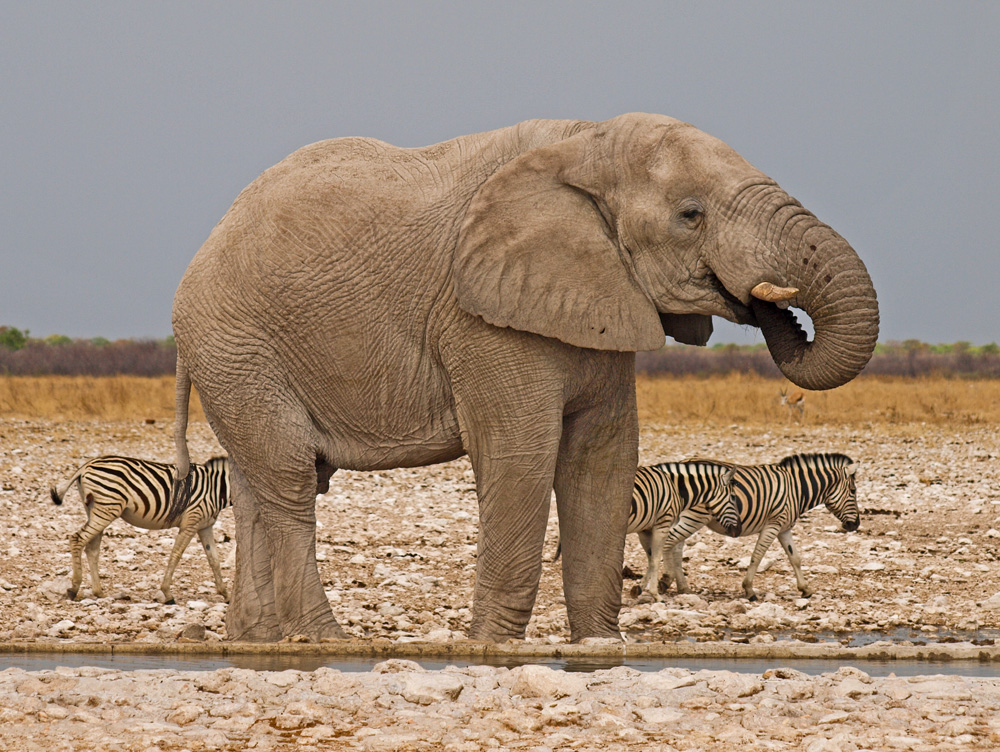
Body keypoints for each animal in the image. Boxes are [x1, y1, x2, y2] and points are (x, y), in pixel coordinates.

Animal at [52, 452, 230, 604]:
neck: (217, 488)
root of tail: (86, 465)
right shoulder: (191, 522)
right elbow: (176, 555)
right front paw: (167, 594)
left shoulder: (205, 526)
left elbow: (214, 559)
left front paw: (226, 594)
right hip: (107, 509)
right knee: (77, 539)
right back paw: (74, 588)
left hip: (95, 510)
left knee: (92, 549)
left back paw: (99, 592)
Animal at [664, 452, 860, 600]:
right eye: (853, 491)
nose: (856, 525)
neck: (796, 489)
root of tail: (683, 463)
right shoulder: (773, 524)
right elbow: (757, 555)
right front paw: (749, 589)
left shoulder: (784, 528)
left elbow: (795, 557)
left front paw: (805, 589)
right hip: (695, 517)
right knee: (670, 541)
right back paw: (665, 581)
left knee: (677, 547)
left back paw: (683, 588)